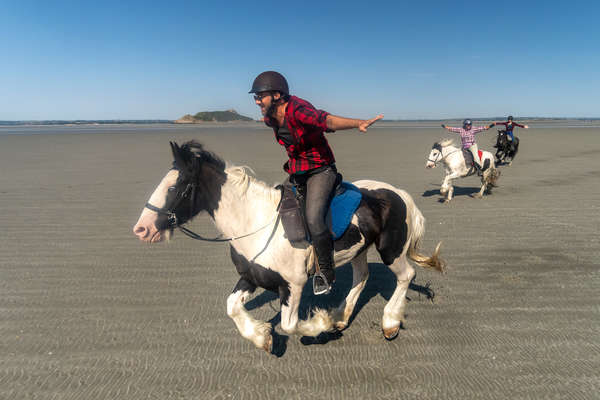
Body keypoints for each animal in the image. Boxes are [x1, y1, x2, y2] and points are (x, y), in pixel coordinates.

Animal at [132, 141, 446, 354]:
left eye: (174, 187)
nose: (142, 228)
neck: (256, 223)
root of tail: (399, 193)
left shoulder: (292, 285)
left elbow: (290, 324)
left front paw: (321, 323)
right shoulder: (251, 276)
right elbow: (232, 307)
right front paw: (261, 336)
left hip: (391, 249)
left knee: (406, 276)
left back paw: (389, 323)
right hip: (359, 248)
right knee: (362, 276)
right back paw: (342, 317)